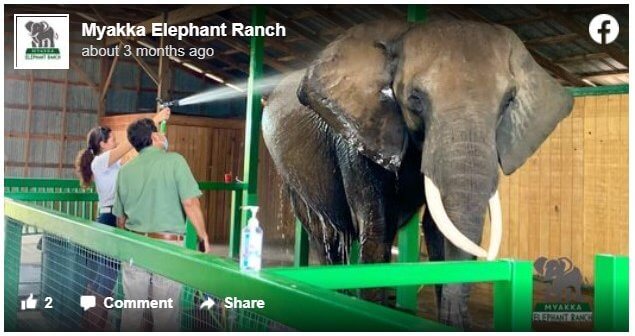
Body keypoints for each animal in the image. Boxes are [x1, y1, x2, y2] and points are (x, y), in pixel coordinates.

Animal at [260, 17, 572, 328]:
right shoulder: (360, 134)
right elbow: (378, 232)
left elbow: (438, 230)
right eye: (415, 99)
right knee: (328, 234)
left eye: (508, 101)